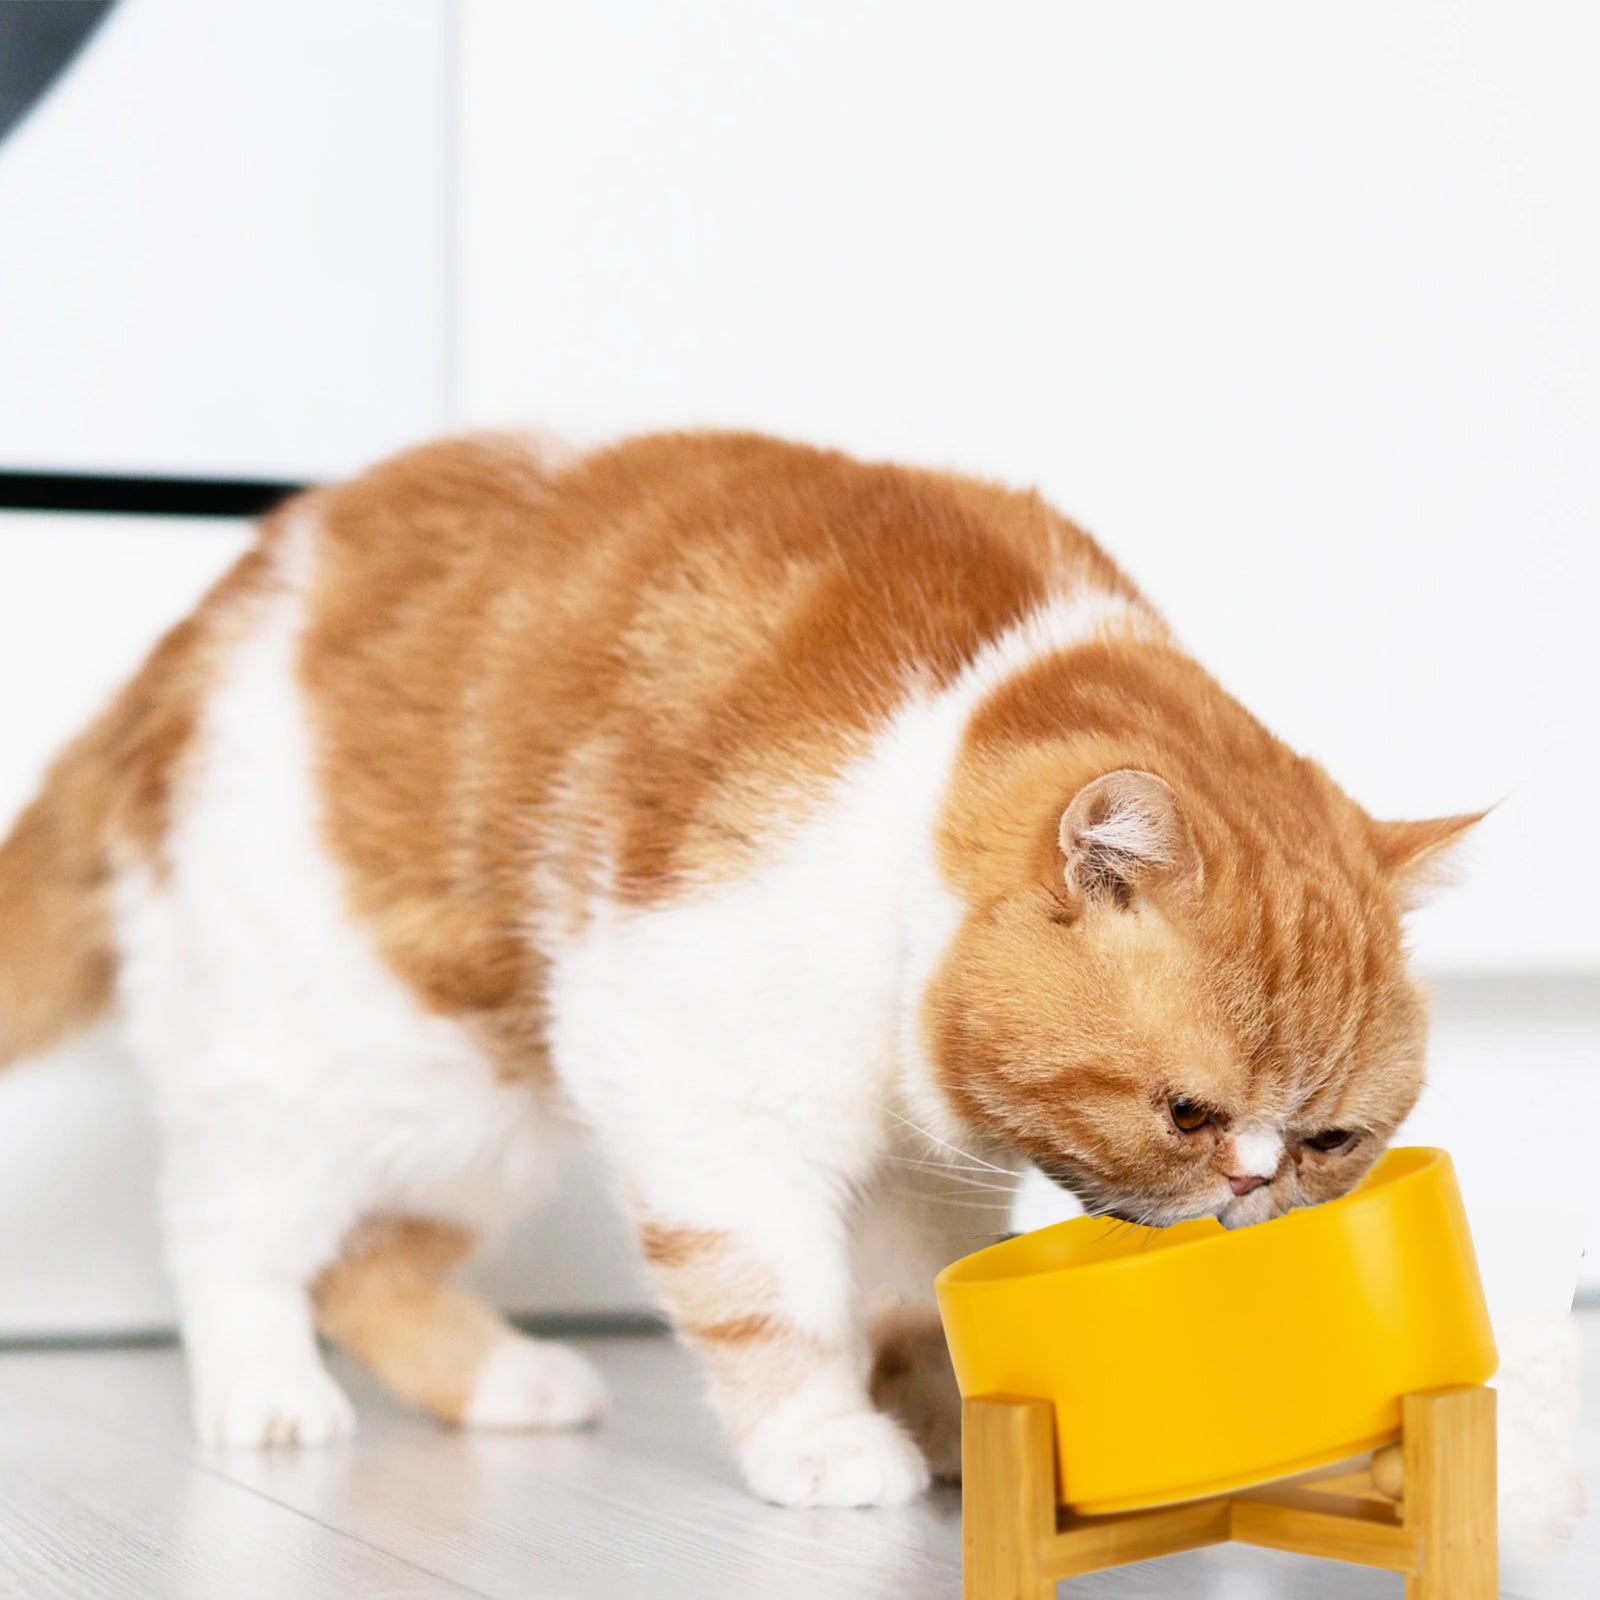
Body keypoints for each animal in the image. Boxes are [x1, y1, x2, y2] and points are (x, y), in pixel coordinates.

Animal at [0, 428, 1472, 1497]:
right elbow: (769, 1296)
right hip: (319, 1065)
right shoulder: (705, 1092)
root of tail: (208, 615)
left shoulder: (910, 1170)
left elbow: (902, 1302)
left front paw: (949, 1418)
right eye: (1186, 1112)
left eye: (1333, 1140)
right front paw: (826, 1443)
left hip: (482, 1102)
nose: (1254, 1189)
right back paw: (266, 1392)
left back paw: (507, 1382)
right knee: (230, 1233)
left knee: (372, 1264)